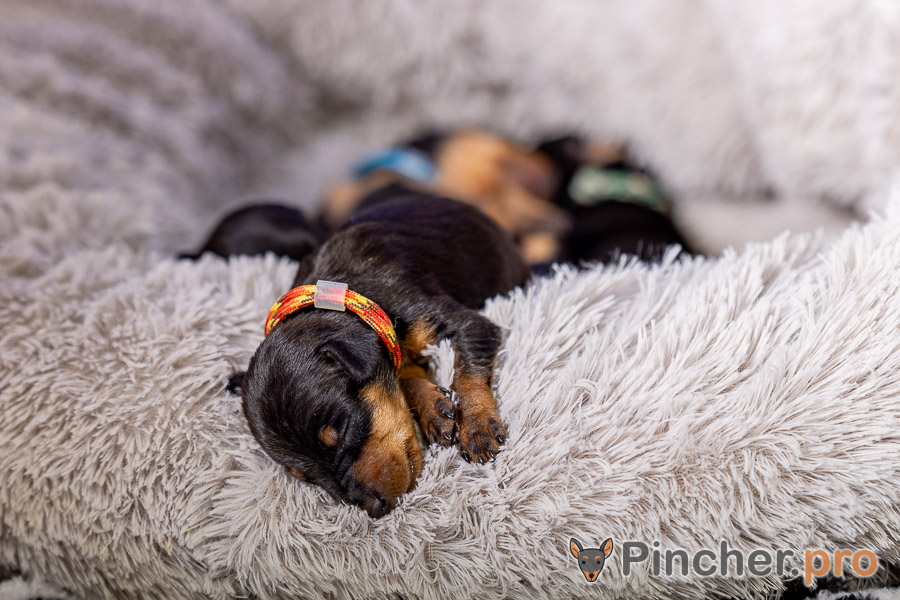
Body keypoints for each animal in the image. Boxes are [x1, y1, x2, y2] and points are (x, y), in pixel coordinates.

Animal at [239, 189, 530, 518]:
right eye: (305, 477)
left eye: (342, 431)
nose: (374, 509)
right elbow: (403, 373)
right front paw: (433, 409)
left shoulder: (465, 323)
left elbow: (467, 372)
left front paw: (477, 426)